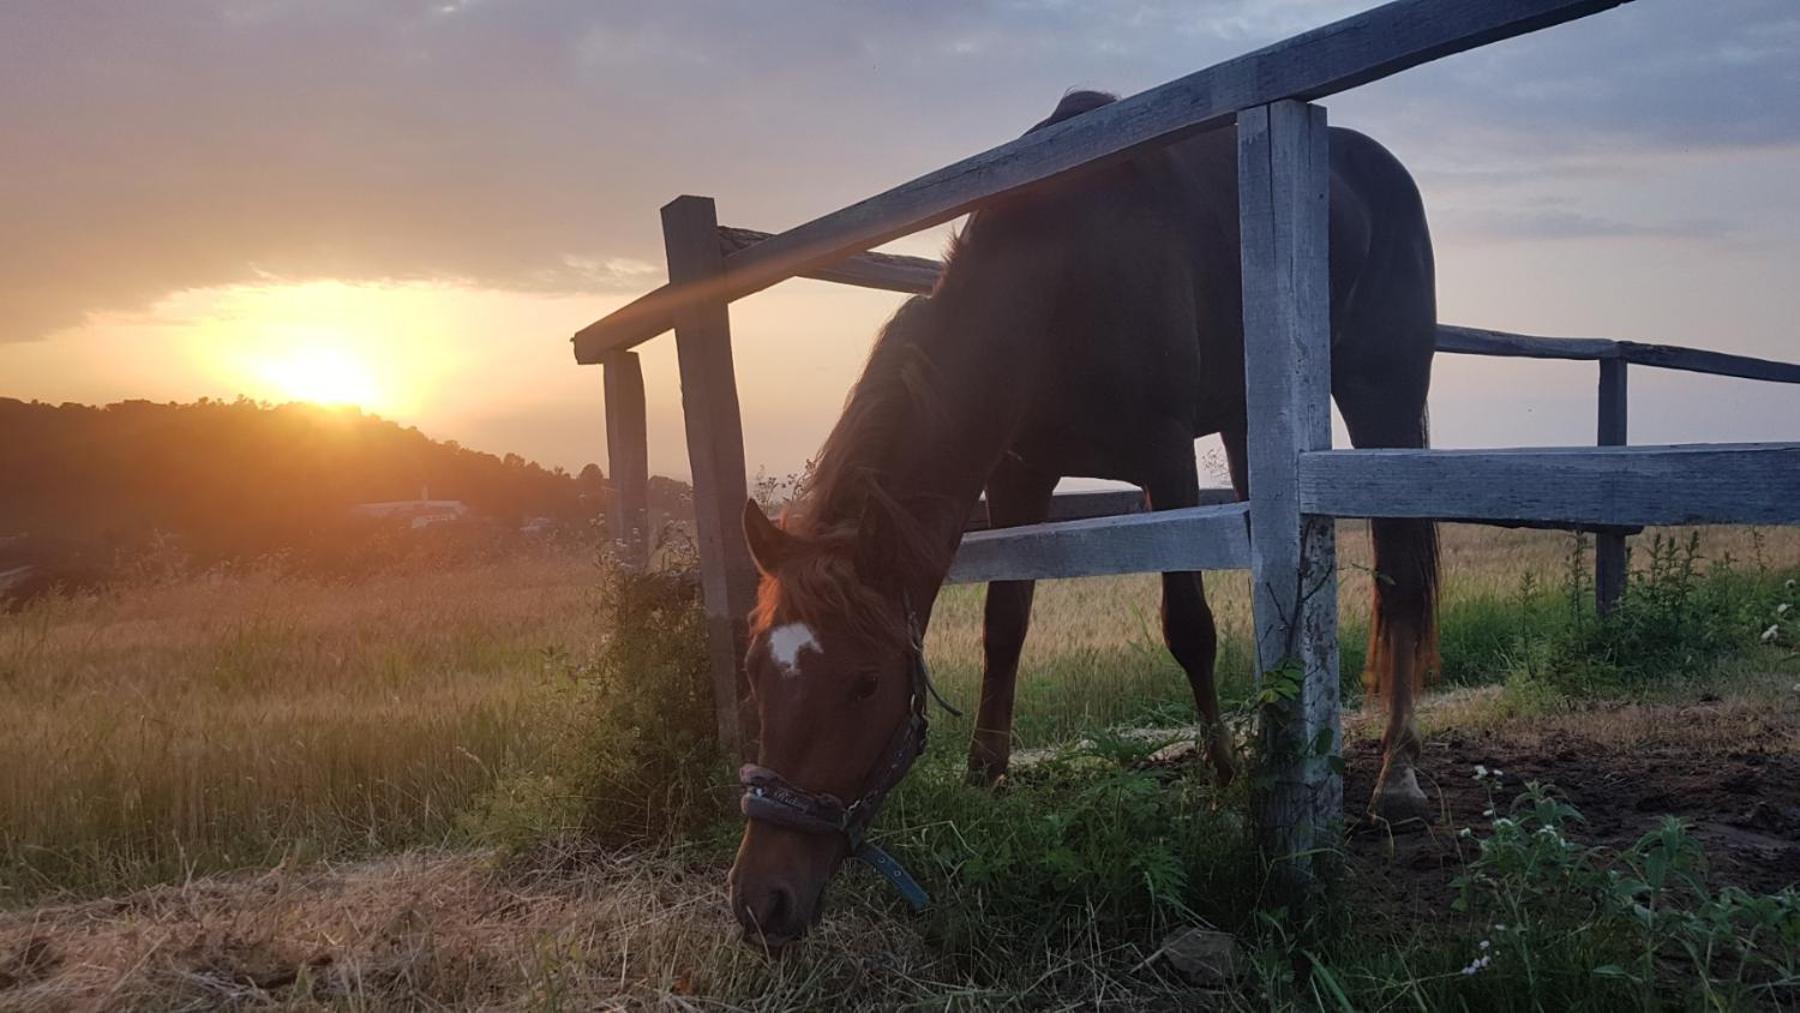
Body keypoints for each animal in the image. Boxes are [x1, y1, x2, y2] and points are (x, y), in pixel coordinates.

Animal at [723, 91, 1440, 950]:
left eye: (864, 683)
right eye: (756, 670)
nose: (761, 901)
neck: (1063, 279)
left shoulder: (1166, 459)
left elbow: (1188, 624)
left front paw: (1223, 768)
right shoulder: (1021, 473)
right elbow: (1005, 623)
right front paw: (987, 773)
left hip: (1382, 389)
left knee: (1401, 574)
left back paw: (1398, 777)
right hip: (1251, 421)